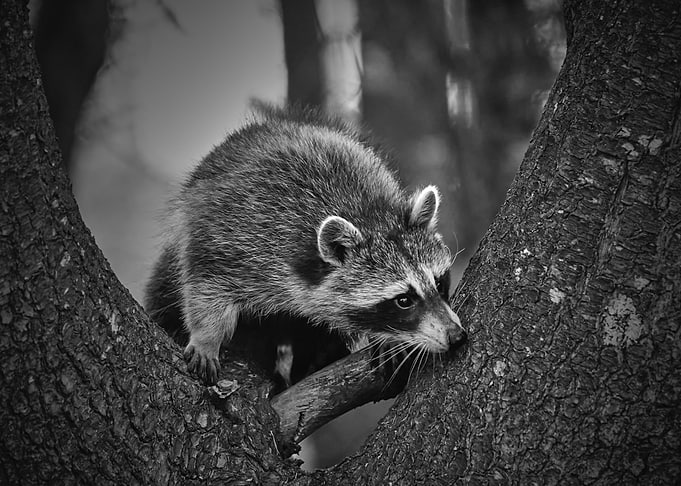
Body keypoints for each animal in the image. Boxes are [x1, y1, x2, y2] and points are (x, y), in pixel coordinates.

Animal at [145, 106, 466, 385]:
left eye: (439, 283)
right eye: (403, 300)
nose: (456, 336)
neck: (367, 216)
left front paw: (386, 338)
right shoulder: (237, 235)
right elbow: (207, 281)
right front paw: (206, 337)